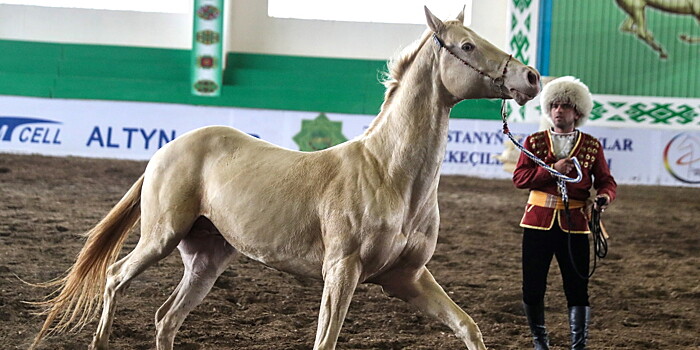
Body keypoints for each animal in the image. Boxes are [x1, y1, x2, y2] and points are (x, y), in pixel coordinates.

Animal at [30, 6, 540, 350]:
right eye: (467, 45)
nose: (531, 77)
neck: (390, 175)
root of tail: (166, 150)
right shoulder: (342, 272)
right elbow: (325, 341)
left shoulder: (407, 278)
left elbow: (467, 326)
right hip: (160, 236)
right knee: (116, 278)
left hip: (206, 259)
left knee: (165, 318)